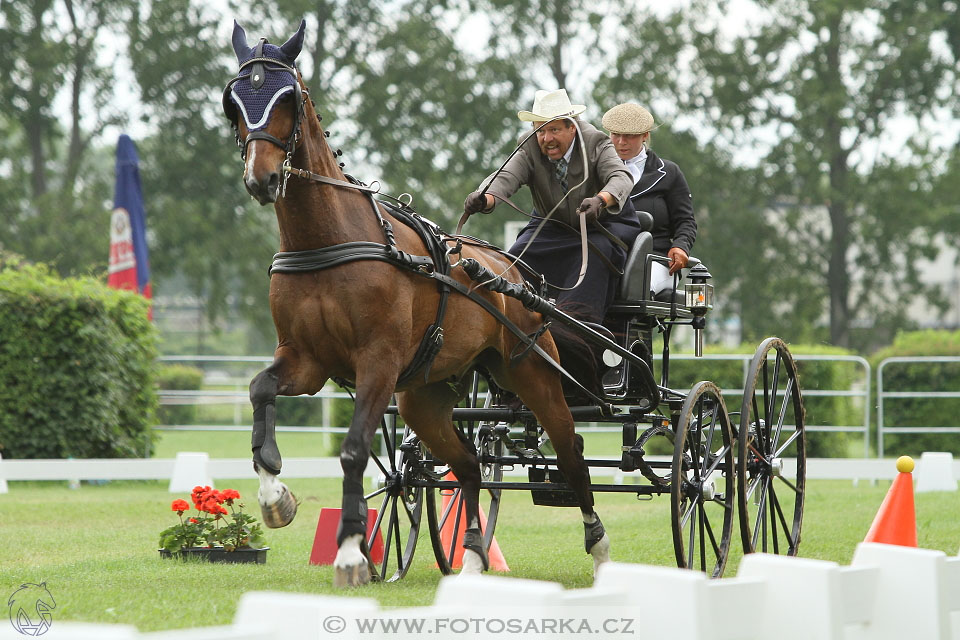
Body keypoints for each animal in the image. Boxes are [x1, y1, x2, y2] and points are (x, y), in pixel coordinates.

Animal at [222, 20, 612, 588]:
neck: (328, 242)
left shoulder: (378, 363)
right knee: (469, 464)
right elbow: (259, 390)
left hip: (532, 374)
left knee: (572, 454)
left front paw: (350, 554)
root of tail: (517, 274)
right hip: (425, 397)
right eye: (233, 102)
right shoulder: (306, 360)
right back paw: (471, 557)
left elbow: (354, 448)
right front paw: (276, 496)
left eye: (287, 97)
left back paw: (600, 551)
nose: (262, 178)